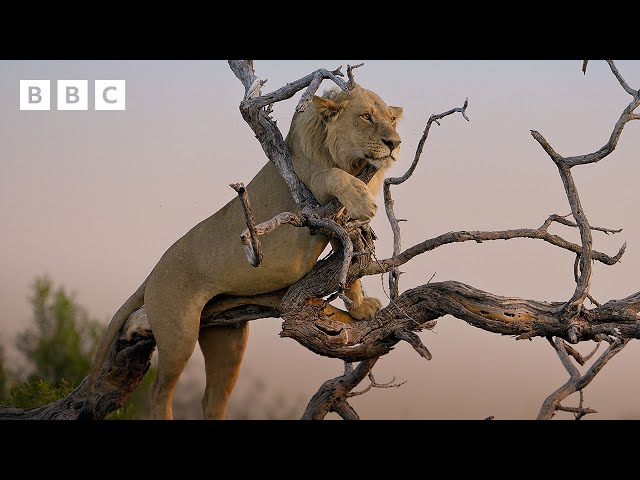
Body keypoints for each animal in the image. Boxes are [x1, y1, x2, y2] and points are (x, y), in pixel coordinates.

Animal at [80, 83, 400, 420]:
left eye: (392, 119)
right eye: (366, 116)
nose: (395, 143)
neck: (350, 160)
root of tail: (153, 271)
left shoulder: (337, 225)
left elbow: (350, 265)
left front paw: (361, 307)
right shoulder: (312, 189)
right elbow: (333, 178)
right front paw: (363, 201)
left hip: (228, 338)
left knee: (212, 398)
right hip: (179, 332)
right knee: (158, 390)